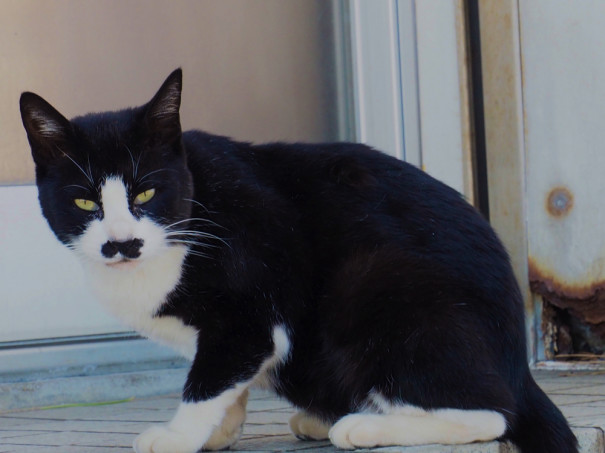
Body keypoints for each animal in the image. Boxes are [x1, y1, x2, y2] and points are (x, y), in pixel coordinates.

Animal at [20, 69, 576, 450]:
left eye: (146, 192)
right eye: (85, 202)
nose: (121, 243)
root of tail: (518, 364)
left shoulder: (252, 310)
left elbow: (208, 379)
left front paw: (179, 436)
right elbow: (226, 379)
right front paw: (218, 431)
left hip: (378, 286)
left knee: (494, 413)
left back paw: (362, 424)